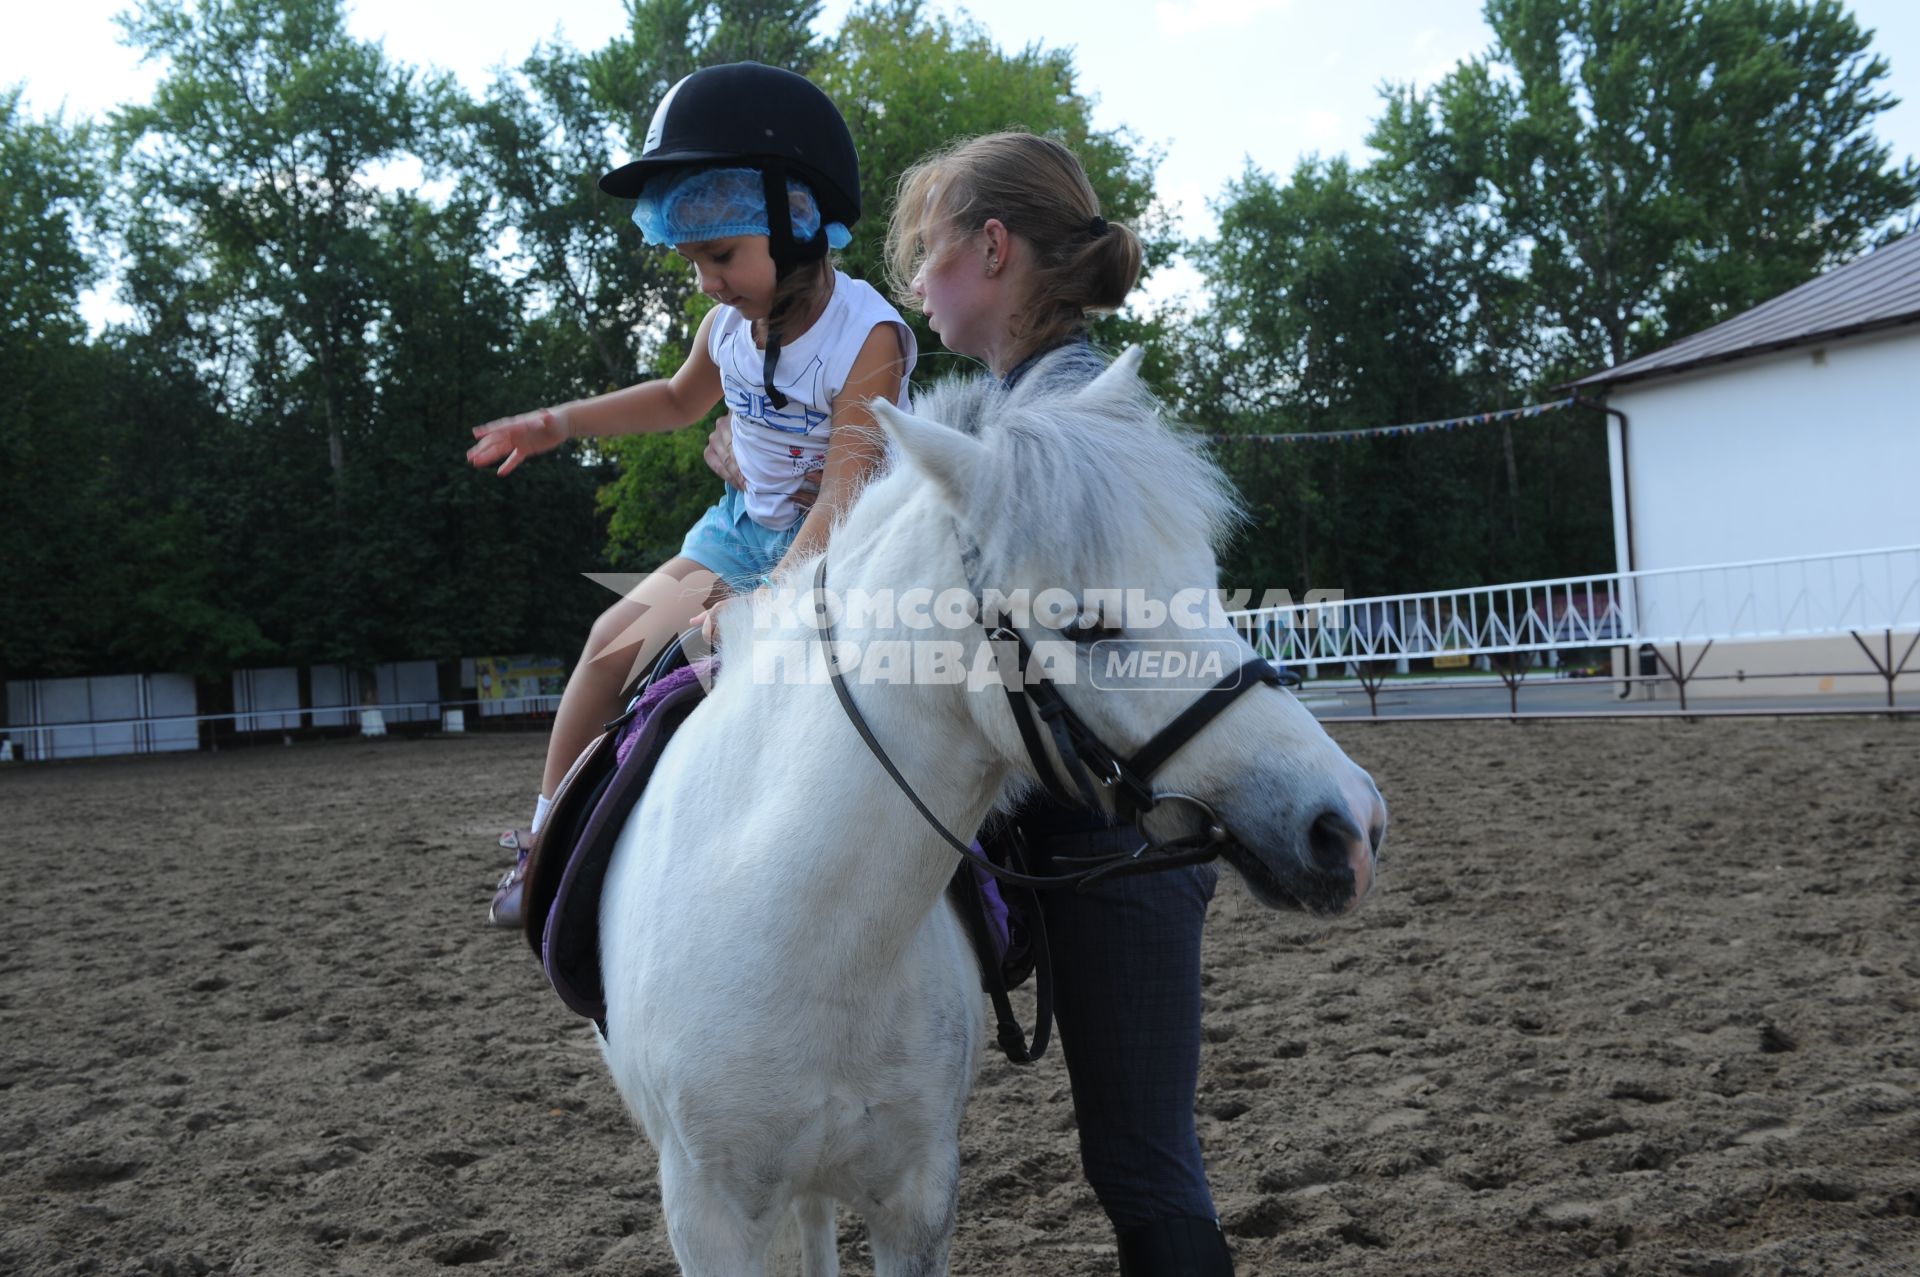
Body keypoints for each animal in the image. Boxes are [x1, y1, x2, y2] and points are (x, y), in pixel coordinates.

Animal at [595, 349, 1382, 1275]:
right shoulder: (710, 1216)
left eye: (1211, 588)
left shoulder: (918, 1199)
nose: (1349, 825)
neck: (798, 926)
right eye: (1086, 624)